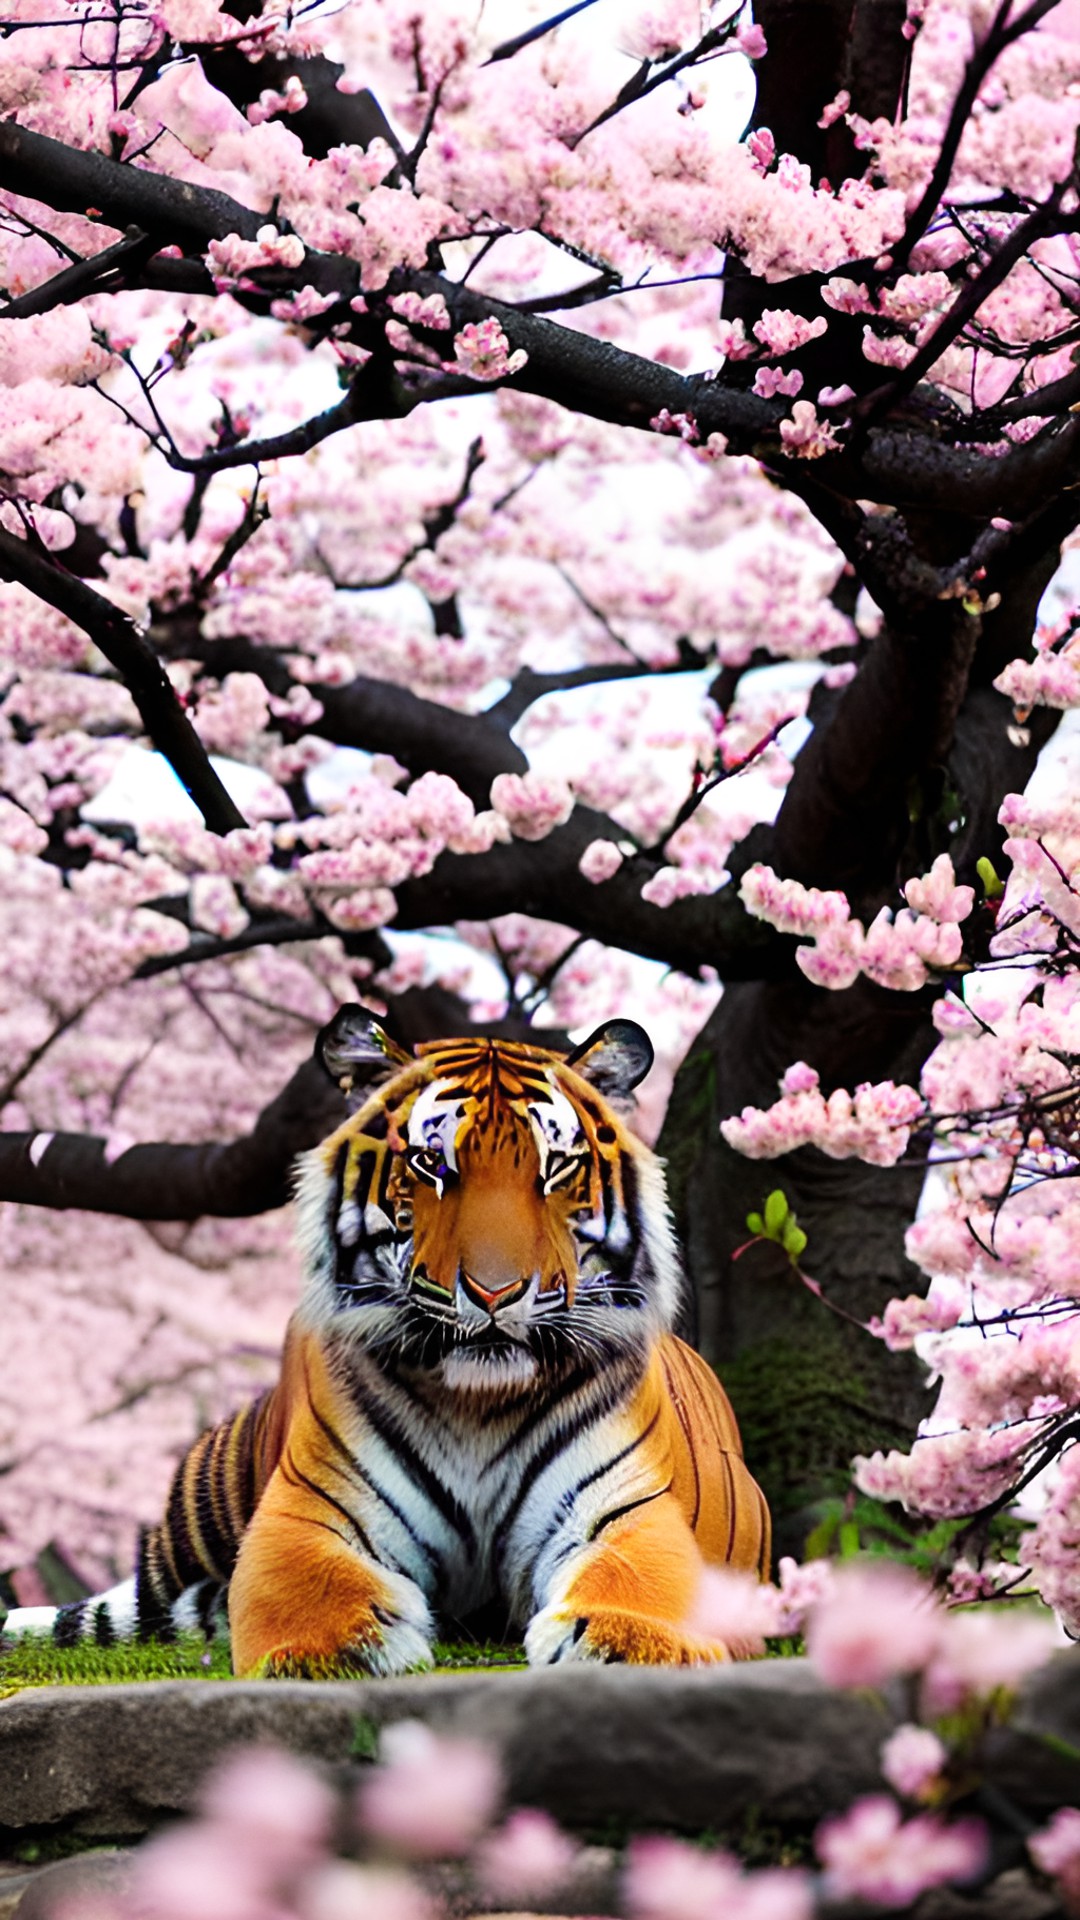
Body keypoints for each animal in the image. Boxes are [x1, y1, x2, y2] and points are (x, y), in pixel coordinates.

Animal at [4, 1013, 768, 1674]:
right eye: (430, 1163)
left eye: (556, 1169)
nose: (495, 1293)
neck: (479, 1406)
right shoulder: (311, 1511)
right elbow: (307, 1588)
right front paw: (344, 1648)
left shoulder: (626, 1510)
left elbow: (638, 1579)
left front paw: (621, 1640)